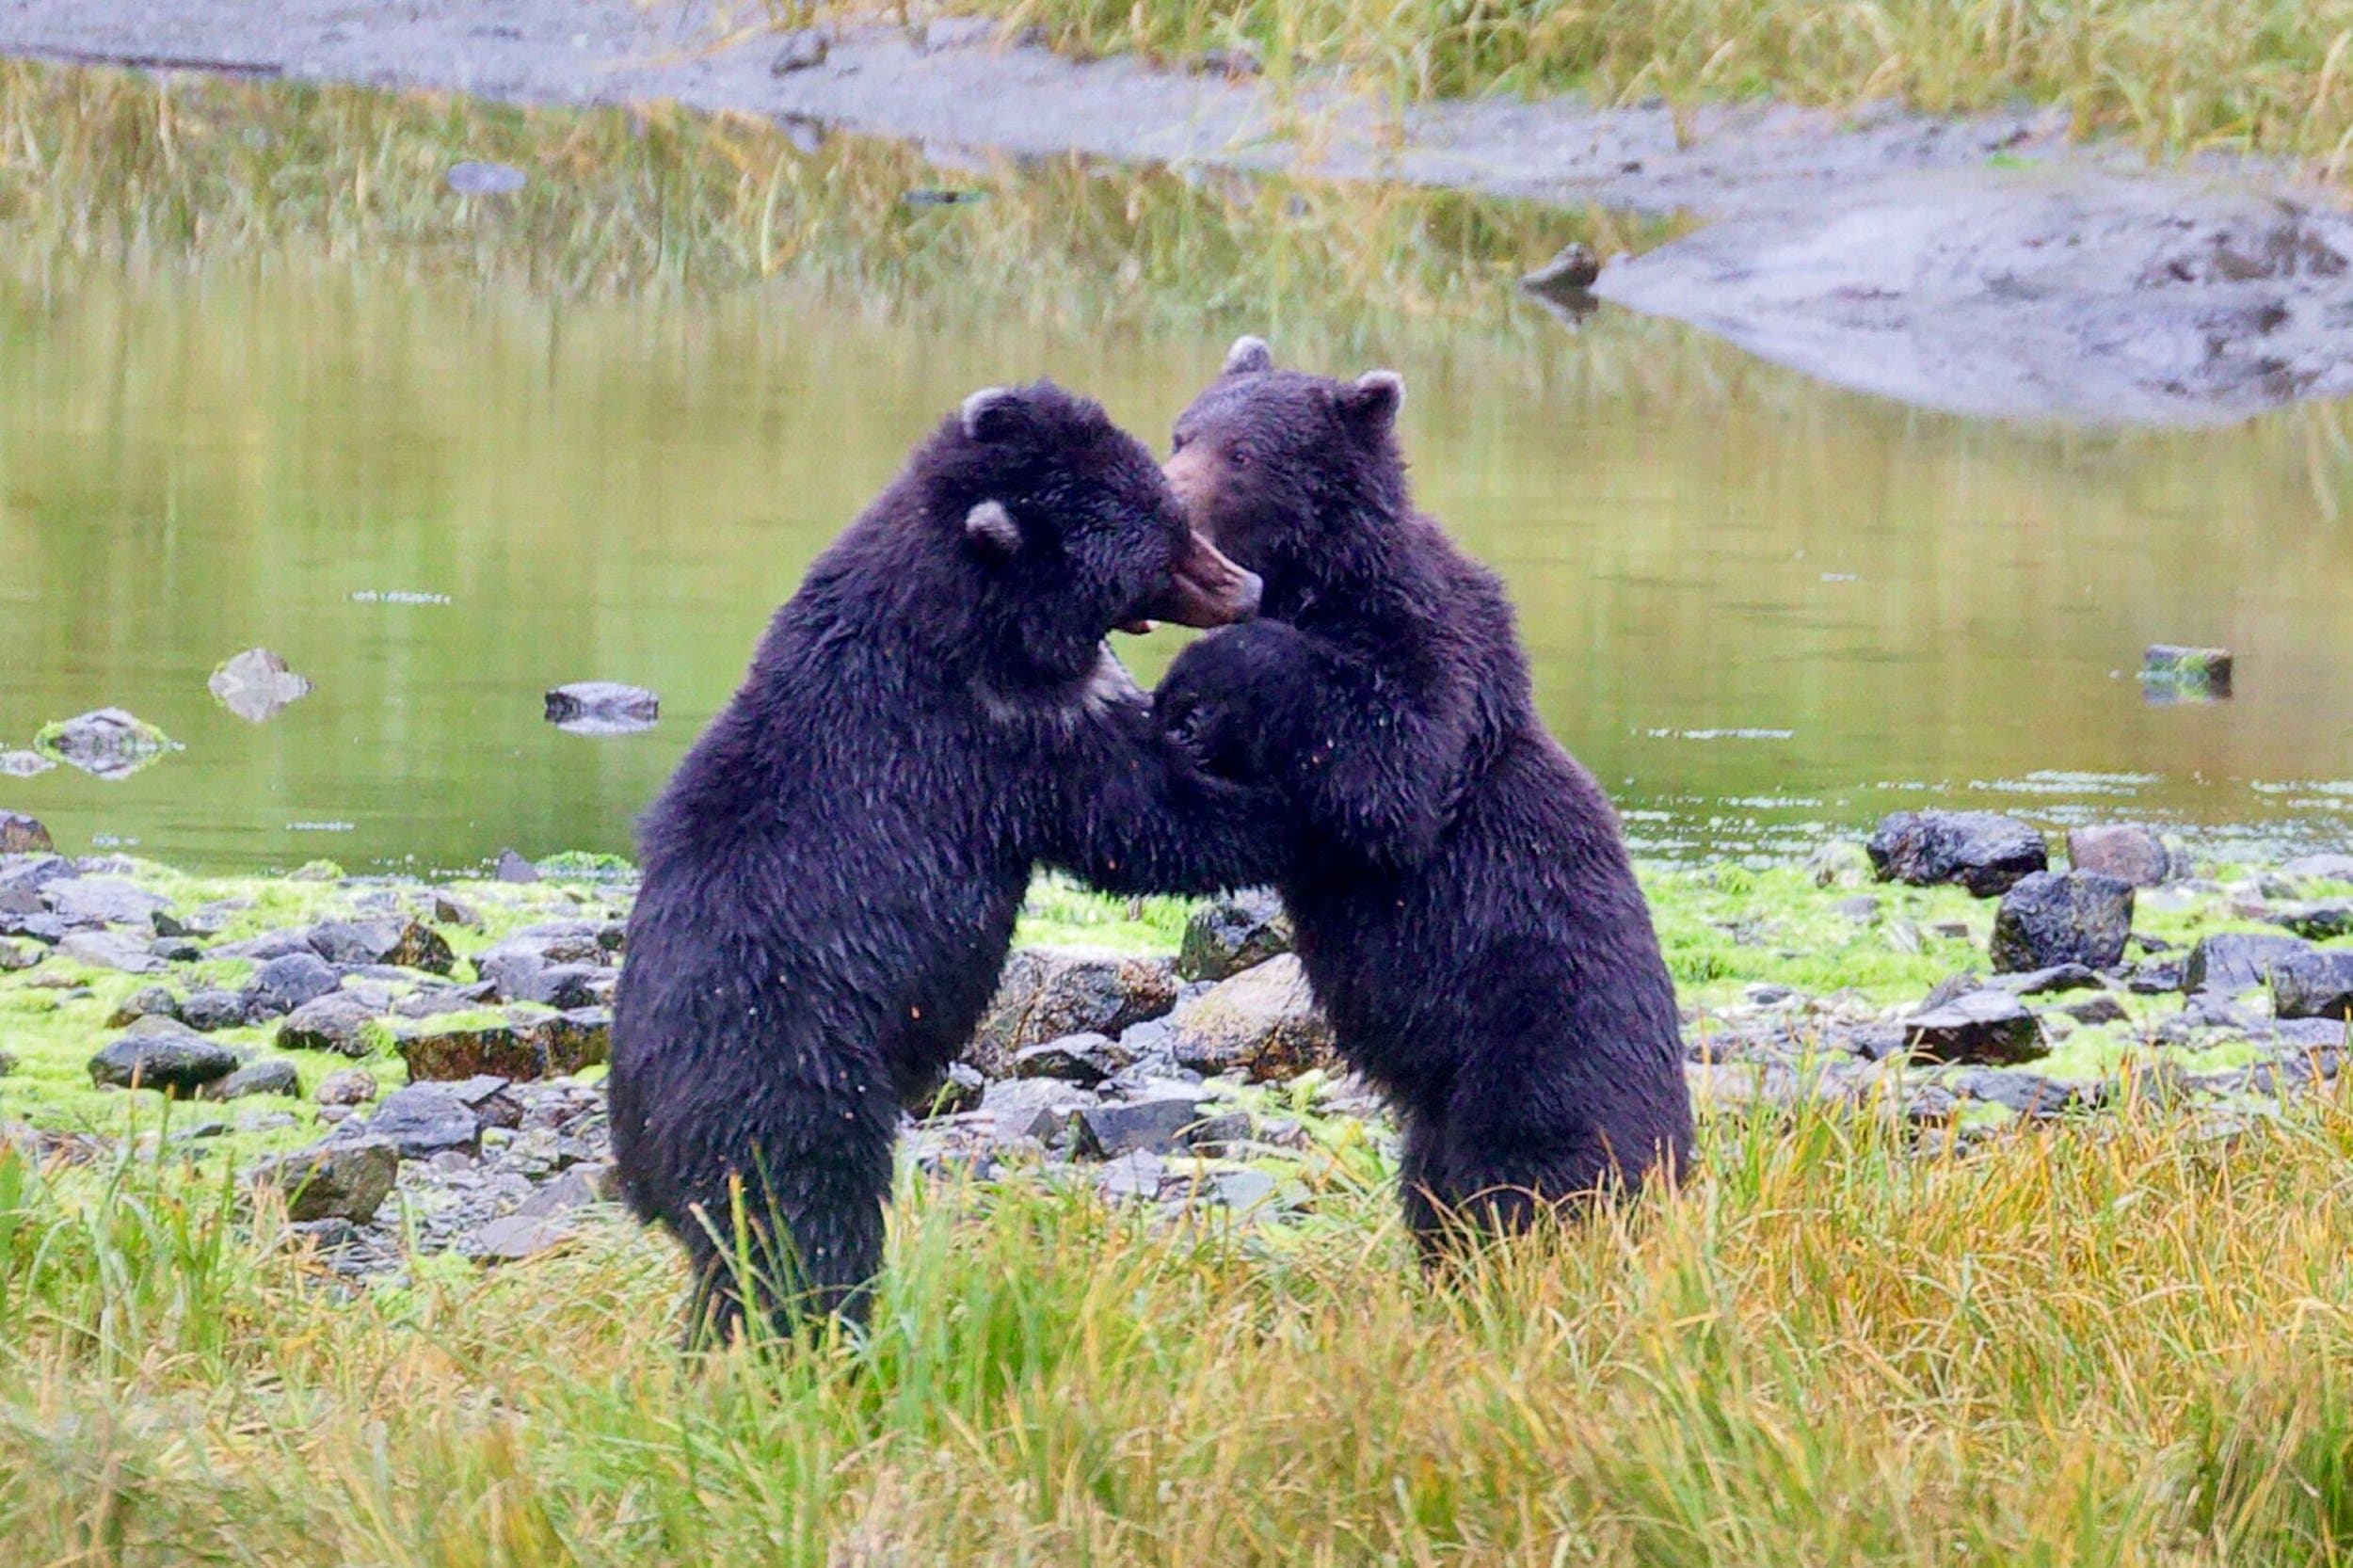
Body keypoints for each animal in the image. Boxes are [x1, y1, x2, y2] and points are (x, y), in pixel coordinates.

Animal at [609, 380, 1291, 1340]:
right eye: (1160, 538)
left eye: (1171, 510)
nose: (1248, 585)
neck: (983, 620)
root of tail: (638, 1151)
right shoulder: (995, 734)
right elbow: (1142, 820)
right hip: (789, 1079)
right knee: (801, 1235)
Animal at [1152, 336, 1694, 1250]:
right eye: (1182, 432)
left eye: (1243, 453)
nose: (1167, 495)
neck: (1320, 578)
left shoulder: (1431, 643)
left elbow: (1392, 767)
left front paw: (1204, 668)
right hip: (1439, 1114)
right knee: (1434, 1190)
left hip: (1537, 1051)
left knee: (1534, 1179)